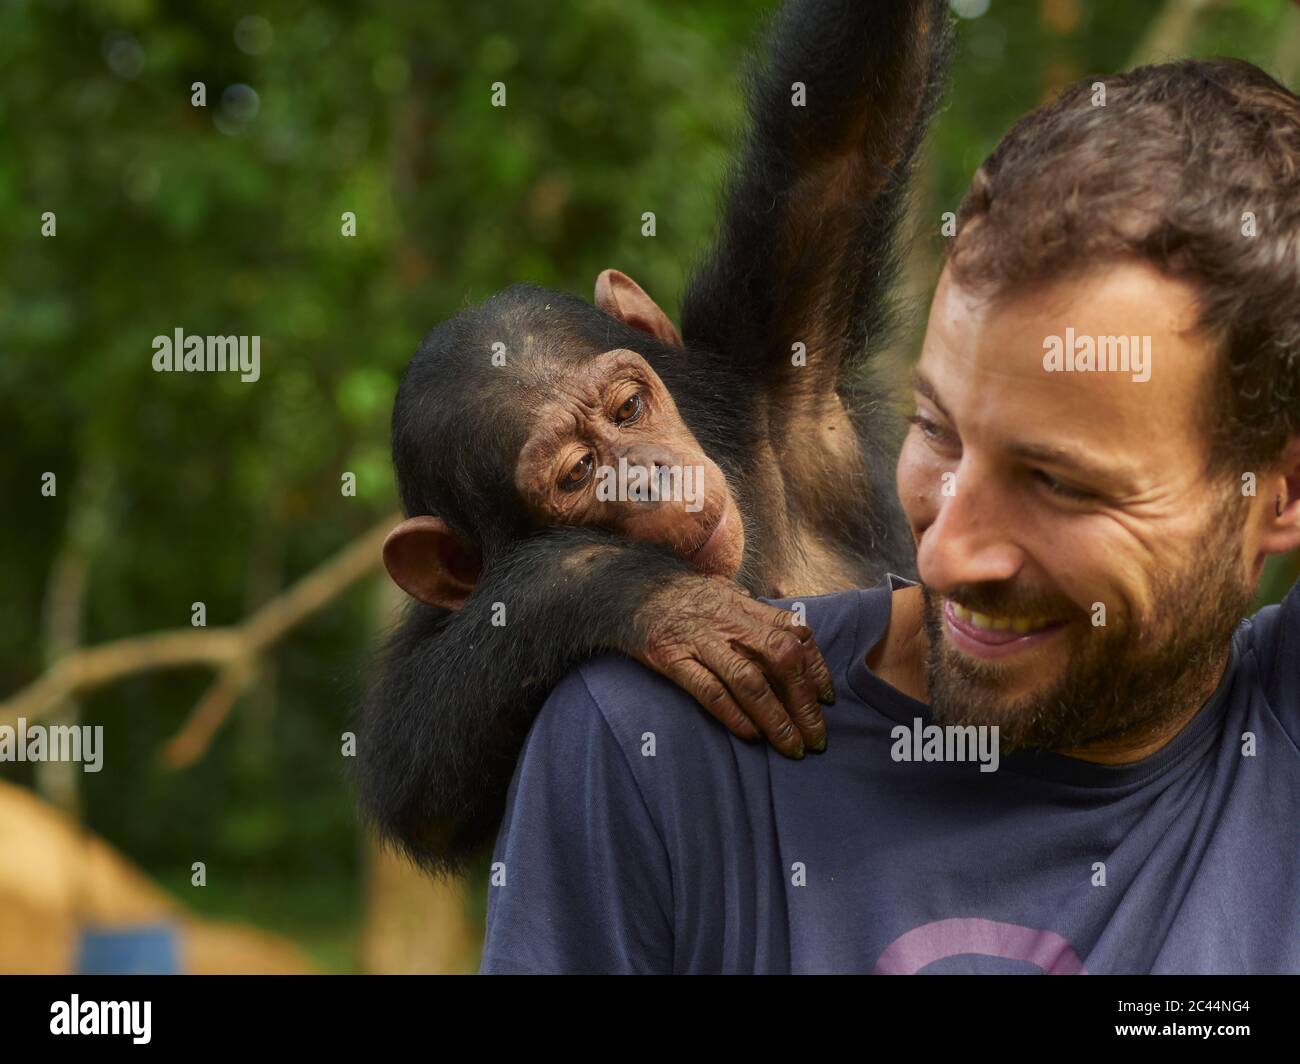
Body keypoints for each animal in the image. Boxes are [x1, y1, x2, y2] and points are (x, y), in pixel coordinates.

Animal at [356, 0, 956, 868]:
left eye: (627, 409)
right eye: (578, 475)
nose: (650, 474)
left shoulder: (768, 355)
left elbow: (842, 139)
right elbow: (412, 769)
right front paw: (651, 598)